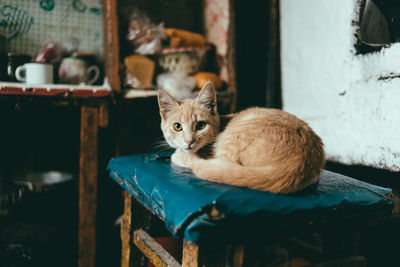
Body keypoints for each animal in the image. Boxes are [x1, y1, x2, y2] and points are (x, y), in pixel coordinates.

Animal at [157, 82, 324, 194]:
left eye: (201, 125)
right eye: (177, 126)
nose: (189, 141)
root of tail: (298, 164)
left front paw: (179, 155)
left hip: (233, 140)